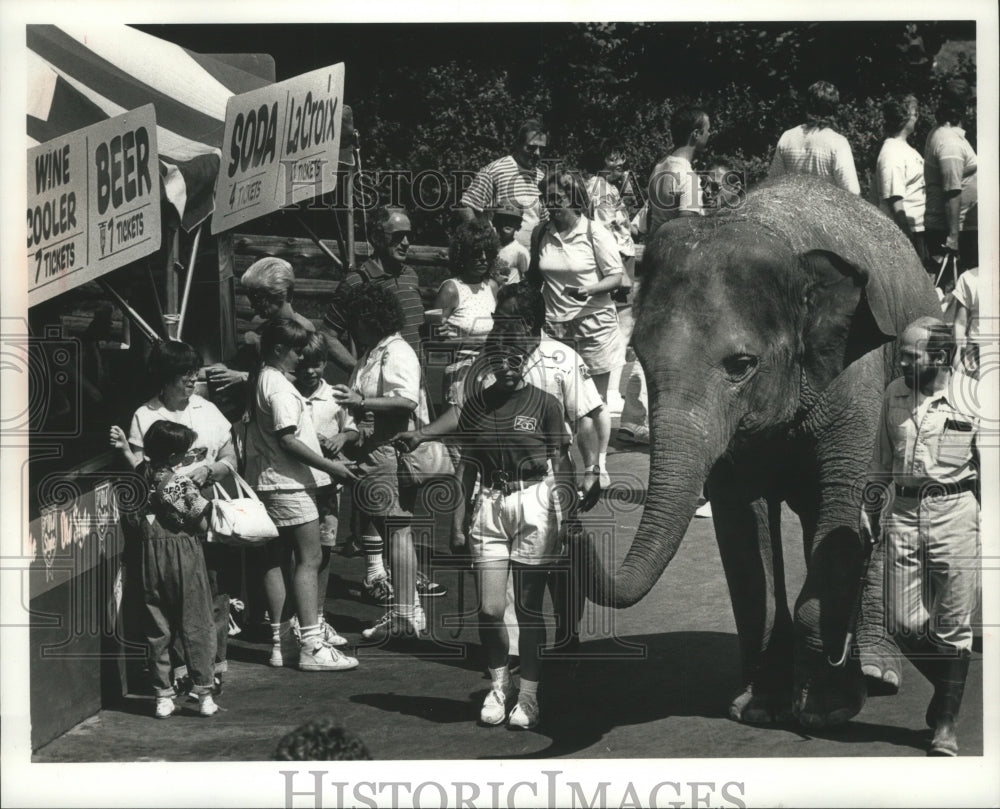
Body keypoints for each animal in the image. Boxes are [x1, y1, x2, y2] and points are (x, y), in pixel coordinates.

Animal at [584, 175, 936, 724]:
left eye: (741, 365)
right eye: (637, 353)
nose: (577, 519)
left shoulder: (856, 381)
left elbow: (843, 507)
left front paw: (826, 710)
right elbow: (743, 528)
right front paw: (760, 710)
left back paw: (879, 672)